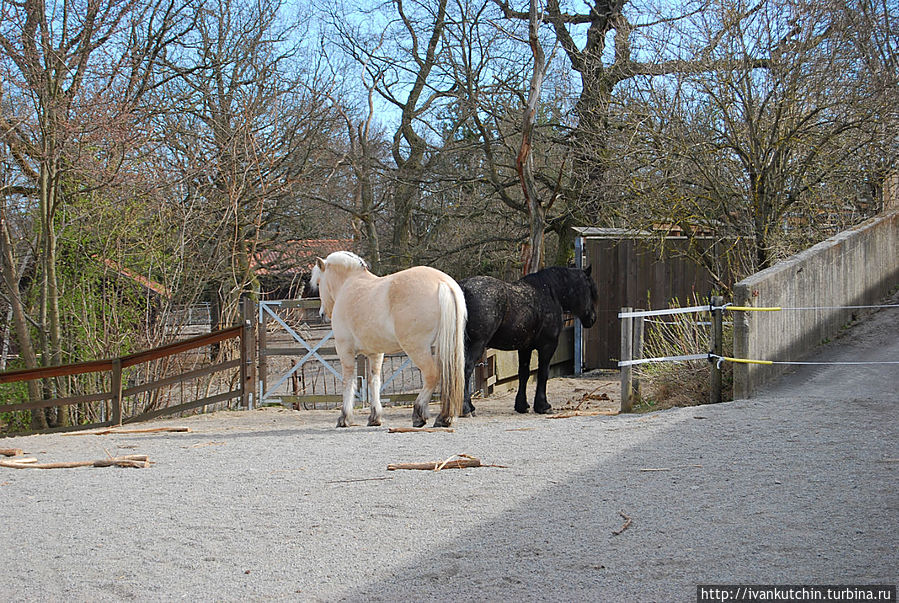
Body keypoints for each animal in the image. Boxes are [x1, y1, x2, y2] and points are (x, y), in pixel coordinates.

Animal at [310, 251, 468, 430]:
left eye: (318, 282)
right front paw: (374, 417)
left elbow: (348, 381)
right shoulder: (375, 353)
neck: (348, 285)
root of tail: (443, 282)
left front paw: (344, 418)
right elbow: (374, 381)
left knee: (432, 375)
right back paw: (444, 418)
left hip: (417, 348)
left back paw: (419, 415)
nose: (322, 314)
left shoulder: (345, 350)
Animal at [464, 266, 596, 418]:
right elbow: (543, 373)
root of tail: (464, 288)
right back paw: (466, 409)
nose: (592, 318)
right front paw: (543, 406)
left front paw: (521, 405)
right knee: (466, 368)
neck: (550, 293)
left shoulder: (524, 348)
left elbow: (524, 373)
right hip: (477, 344)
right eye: (590, 290)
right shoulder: (548, 346)